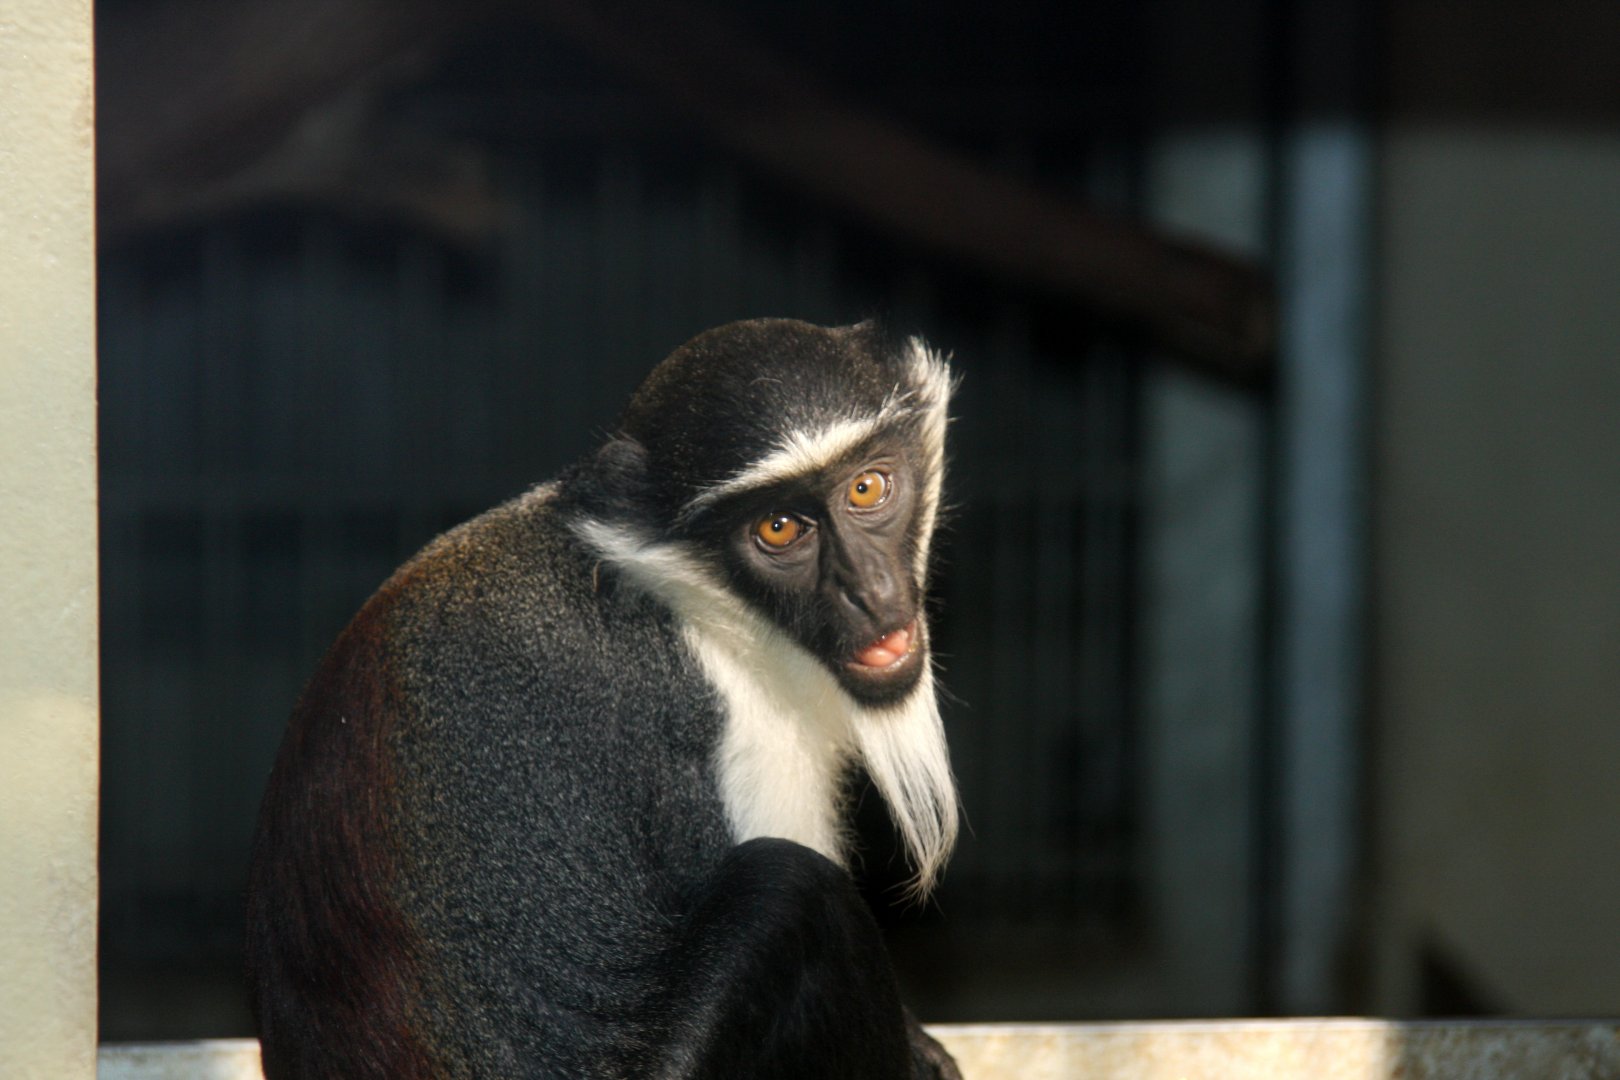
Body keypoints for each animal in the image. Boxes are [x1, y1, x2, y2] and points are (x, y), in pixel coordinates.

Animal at [246, 318, 963, 1079]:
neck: (697, 602)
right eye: (779, 529)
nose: (870, 591)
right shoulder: (733, 730)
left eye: (867, 488)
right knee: (789, 897)